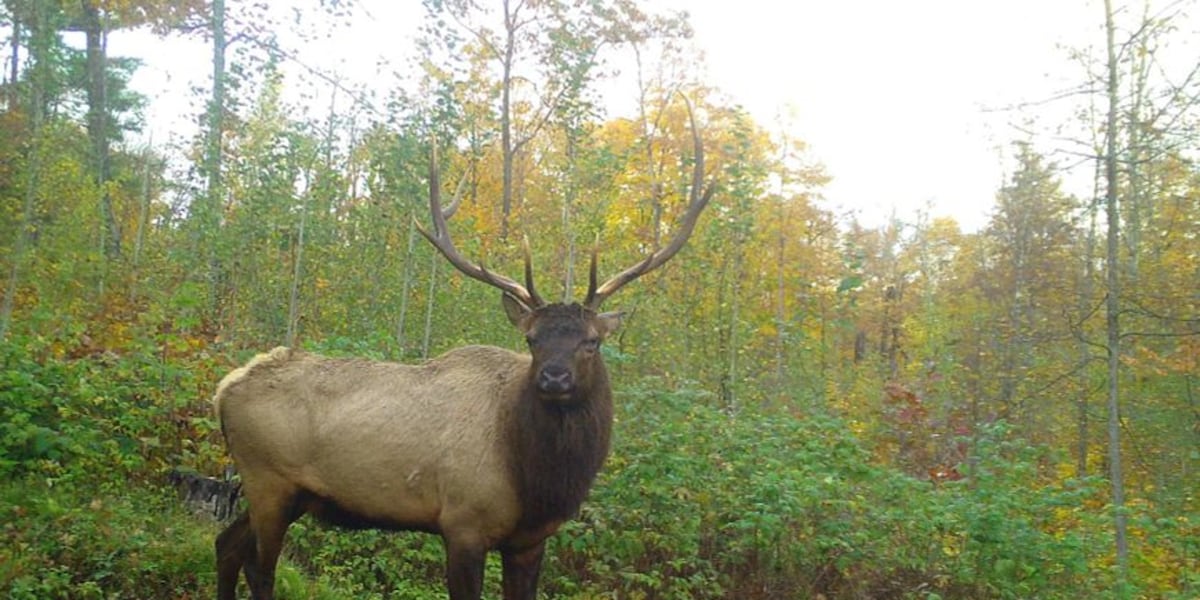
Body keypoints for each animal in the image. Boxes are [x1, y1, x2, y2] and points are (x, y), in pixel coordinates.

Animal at [212, 111, 715, 600]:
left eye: (591, 341)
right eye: (532, 339)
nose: (553, 378)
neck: (537, 481)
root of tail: (223, 390)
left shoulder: (531, 540)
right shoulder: (463, 523)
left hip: (285, 494)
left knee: (225, 544)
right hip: (268, 480)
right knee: (259, 567)